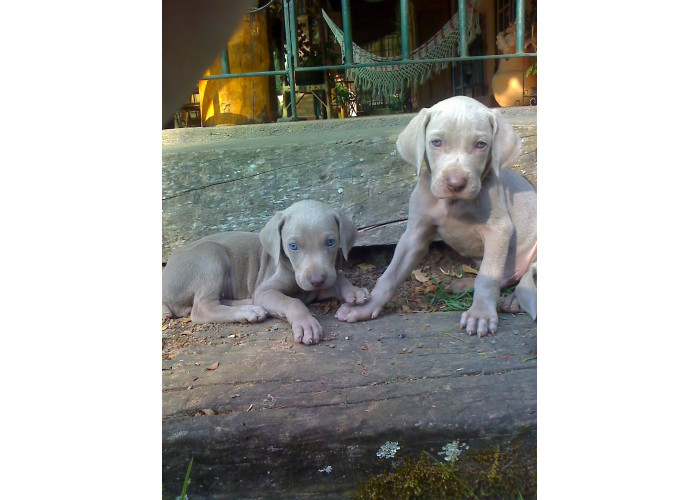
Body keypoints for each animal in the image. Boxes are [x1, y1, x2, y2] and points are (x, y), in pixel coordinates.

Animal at [163, 199, 370, 344]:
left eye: (331, 242)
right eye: (293, 246)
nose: (316, 280)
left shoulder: (319, 285)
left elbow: (337, 278)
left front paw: (354, 291)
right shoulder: (265, 290)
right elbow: (293, 302)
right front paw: (306, 324)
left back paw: (249, 304)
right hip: (212, 253)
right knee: (202, 308)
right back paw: (248, 311)